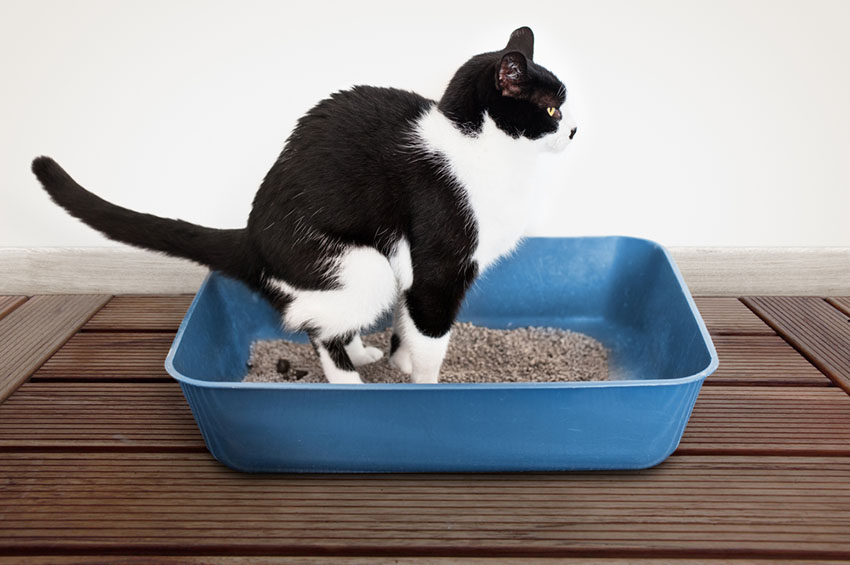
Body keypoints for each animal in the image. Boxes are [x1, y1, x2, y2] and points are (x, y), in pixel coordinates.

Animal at [31, 28, 576, 386]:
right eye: (551, 109)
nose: (574, 129)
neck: (480, 151)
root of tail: (252, 237)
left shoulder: (416, 272)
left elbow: (406, 324)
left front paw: (399, 363)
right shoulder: (439, 269)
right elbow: (428, 338)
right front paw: (425, 386)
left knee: (331, 320)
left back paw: (363, 354)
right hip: (361, 264)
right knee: (316, 330)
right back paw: (348, 382)